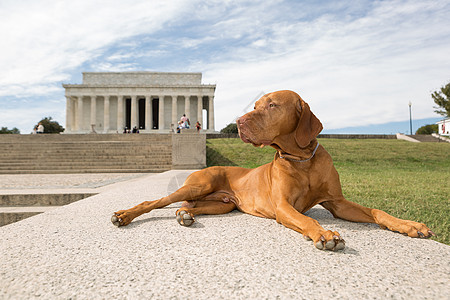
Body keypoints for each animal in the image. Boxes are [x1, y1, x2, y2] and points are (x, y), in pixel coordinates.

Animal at [110, 90, 434, 250]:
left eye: (272, 105)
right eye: (255, 105)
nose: (238, 122)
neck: (303, 160)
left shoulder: (338, 203)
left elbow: (378, 212)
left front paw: (410, 225)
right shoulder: (282, 207)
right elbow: (308, 220)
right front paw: (324, 234)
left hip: (223, 205)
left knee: (189, 207)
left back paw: (185, 215)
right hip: (198, 184)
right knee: (154, 202)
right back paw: (124, 215)